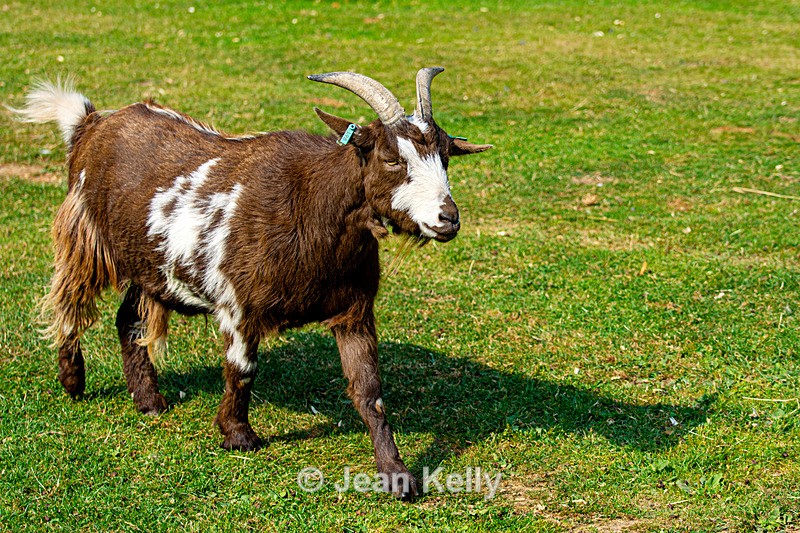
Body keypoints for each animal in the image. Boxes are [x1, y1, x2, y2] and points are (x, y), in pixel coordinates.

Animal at [15, 68, 491, 499]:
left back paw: (149, 401)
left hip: (151, 264)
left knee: (127, 319)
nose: (448, 219)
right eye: (391, 157)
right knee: (69, 304)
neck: (312, 208)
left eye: (446, 156)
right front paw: (237, 435)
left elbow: (369, 391)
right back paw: (73, 380)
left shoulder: (353, 311)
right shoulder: (238, 305)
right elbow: (242, 370)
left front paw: (397, 475)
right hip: (85, 235)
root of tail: (91, 123)